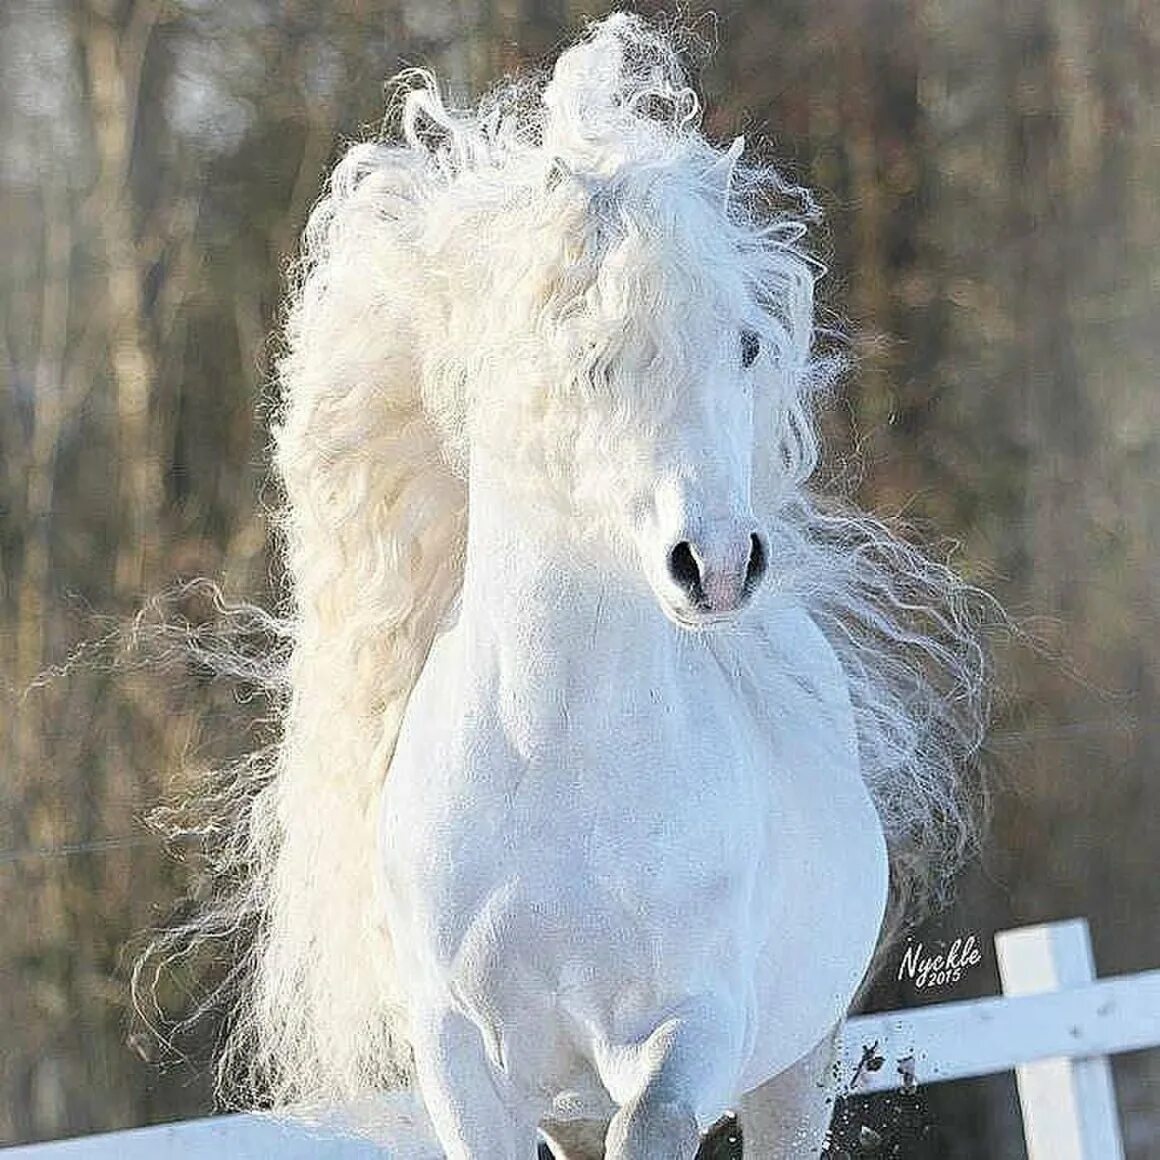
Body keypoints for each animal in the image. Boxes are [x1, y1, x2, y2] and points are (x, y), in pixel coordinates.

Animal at [190, 11, 988, 1160]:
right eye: (591, 359)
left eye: (747, 343)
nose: (718, 565)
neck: (557, 760)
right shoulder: (467, 1068)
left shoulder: (690, 1035)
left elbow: (656, 1117)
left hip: (797, 1066)